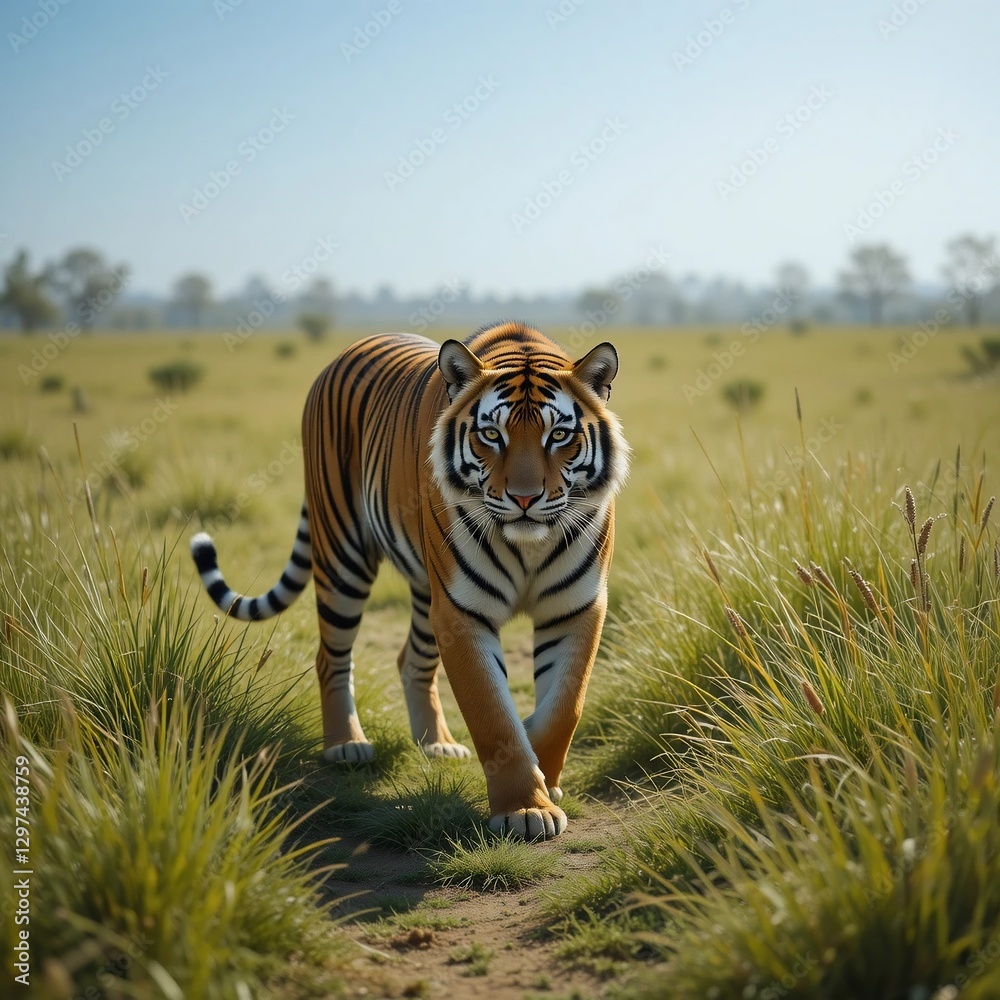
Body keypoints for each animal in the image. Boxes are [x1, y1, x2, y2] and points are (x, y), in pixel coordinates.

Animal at [190, 320, 628, 840]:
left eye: (559, 435)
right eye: (491, 435)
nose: (524, 499)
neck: (529, 544)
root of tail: (351, 347)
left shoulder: (575, 607)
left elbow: (563, 709)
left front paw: (547, 781)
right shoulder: (462, 611)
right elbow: (491, 713)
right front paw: (525, 809)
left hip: (425, 591)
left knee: (412, 660)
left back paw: (437, 744)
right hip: (343, 555)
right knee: (331, 656)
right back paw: (346, 745)